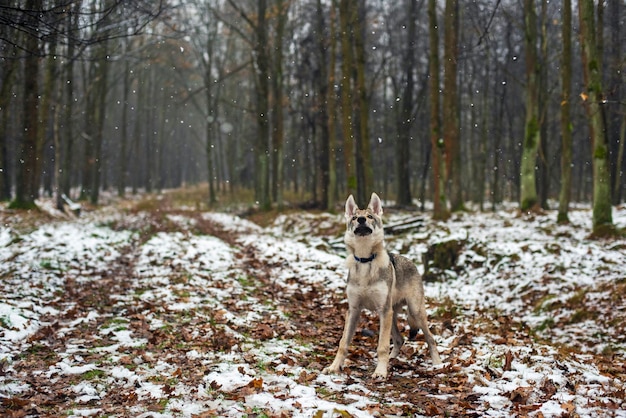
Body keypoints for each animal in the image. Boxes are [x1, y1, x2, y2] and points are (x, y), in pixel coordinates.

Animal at [324, 193, 442, 378]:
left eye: (370, 217)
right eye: (354, 218)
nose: (362, 220)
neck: (365, 261)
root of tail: (412, 262)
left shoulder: (383, 310)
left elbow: (382, 346)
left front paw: (380, 372)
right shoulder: (354, 310)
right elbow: (343, 343)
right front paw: (334, 367)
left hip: (413, 312)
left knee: (430, 338)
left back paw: (437, 364)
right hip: (391, 315)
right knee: (399, 339)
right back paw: (392, 359)